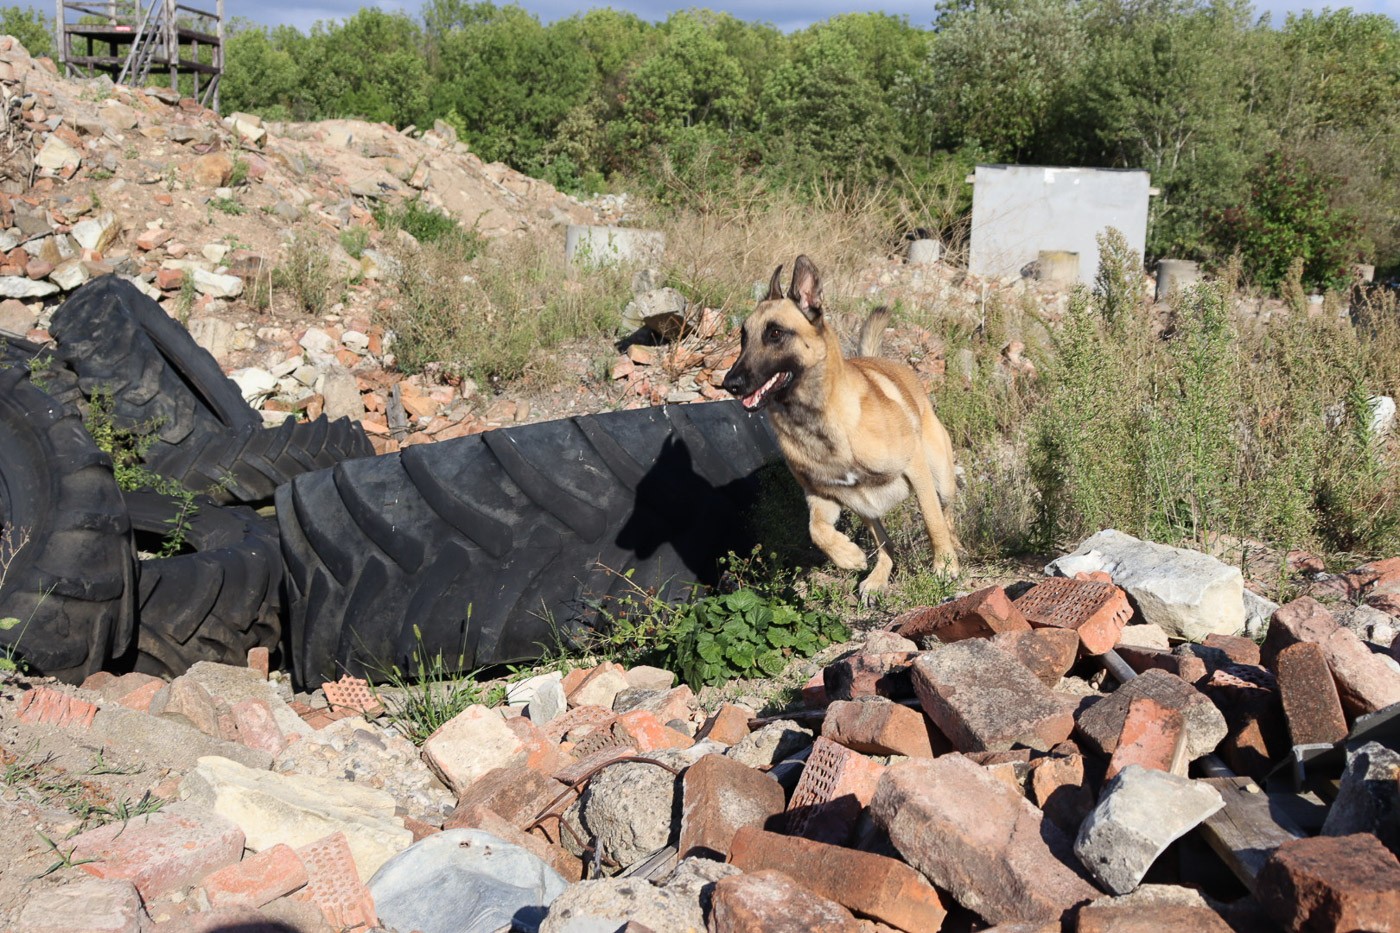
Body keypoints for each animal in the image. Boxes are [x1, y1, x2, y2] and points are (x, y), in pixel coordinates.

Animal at [722, 255, 960, 600]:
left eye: (775, 333)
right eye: (743, 337)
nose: (730, 384)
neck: (819, 421)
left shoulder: (916, 469)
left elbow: (932, 521)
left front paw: (943, 564)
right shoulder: (821, 496)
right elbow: (817, 530)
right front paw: (848, 555)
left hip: (941, 478)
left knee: (946, 515)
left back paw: (952, 549)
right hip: (863, 505)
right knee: (884, 543)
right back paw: (877, 577)